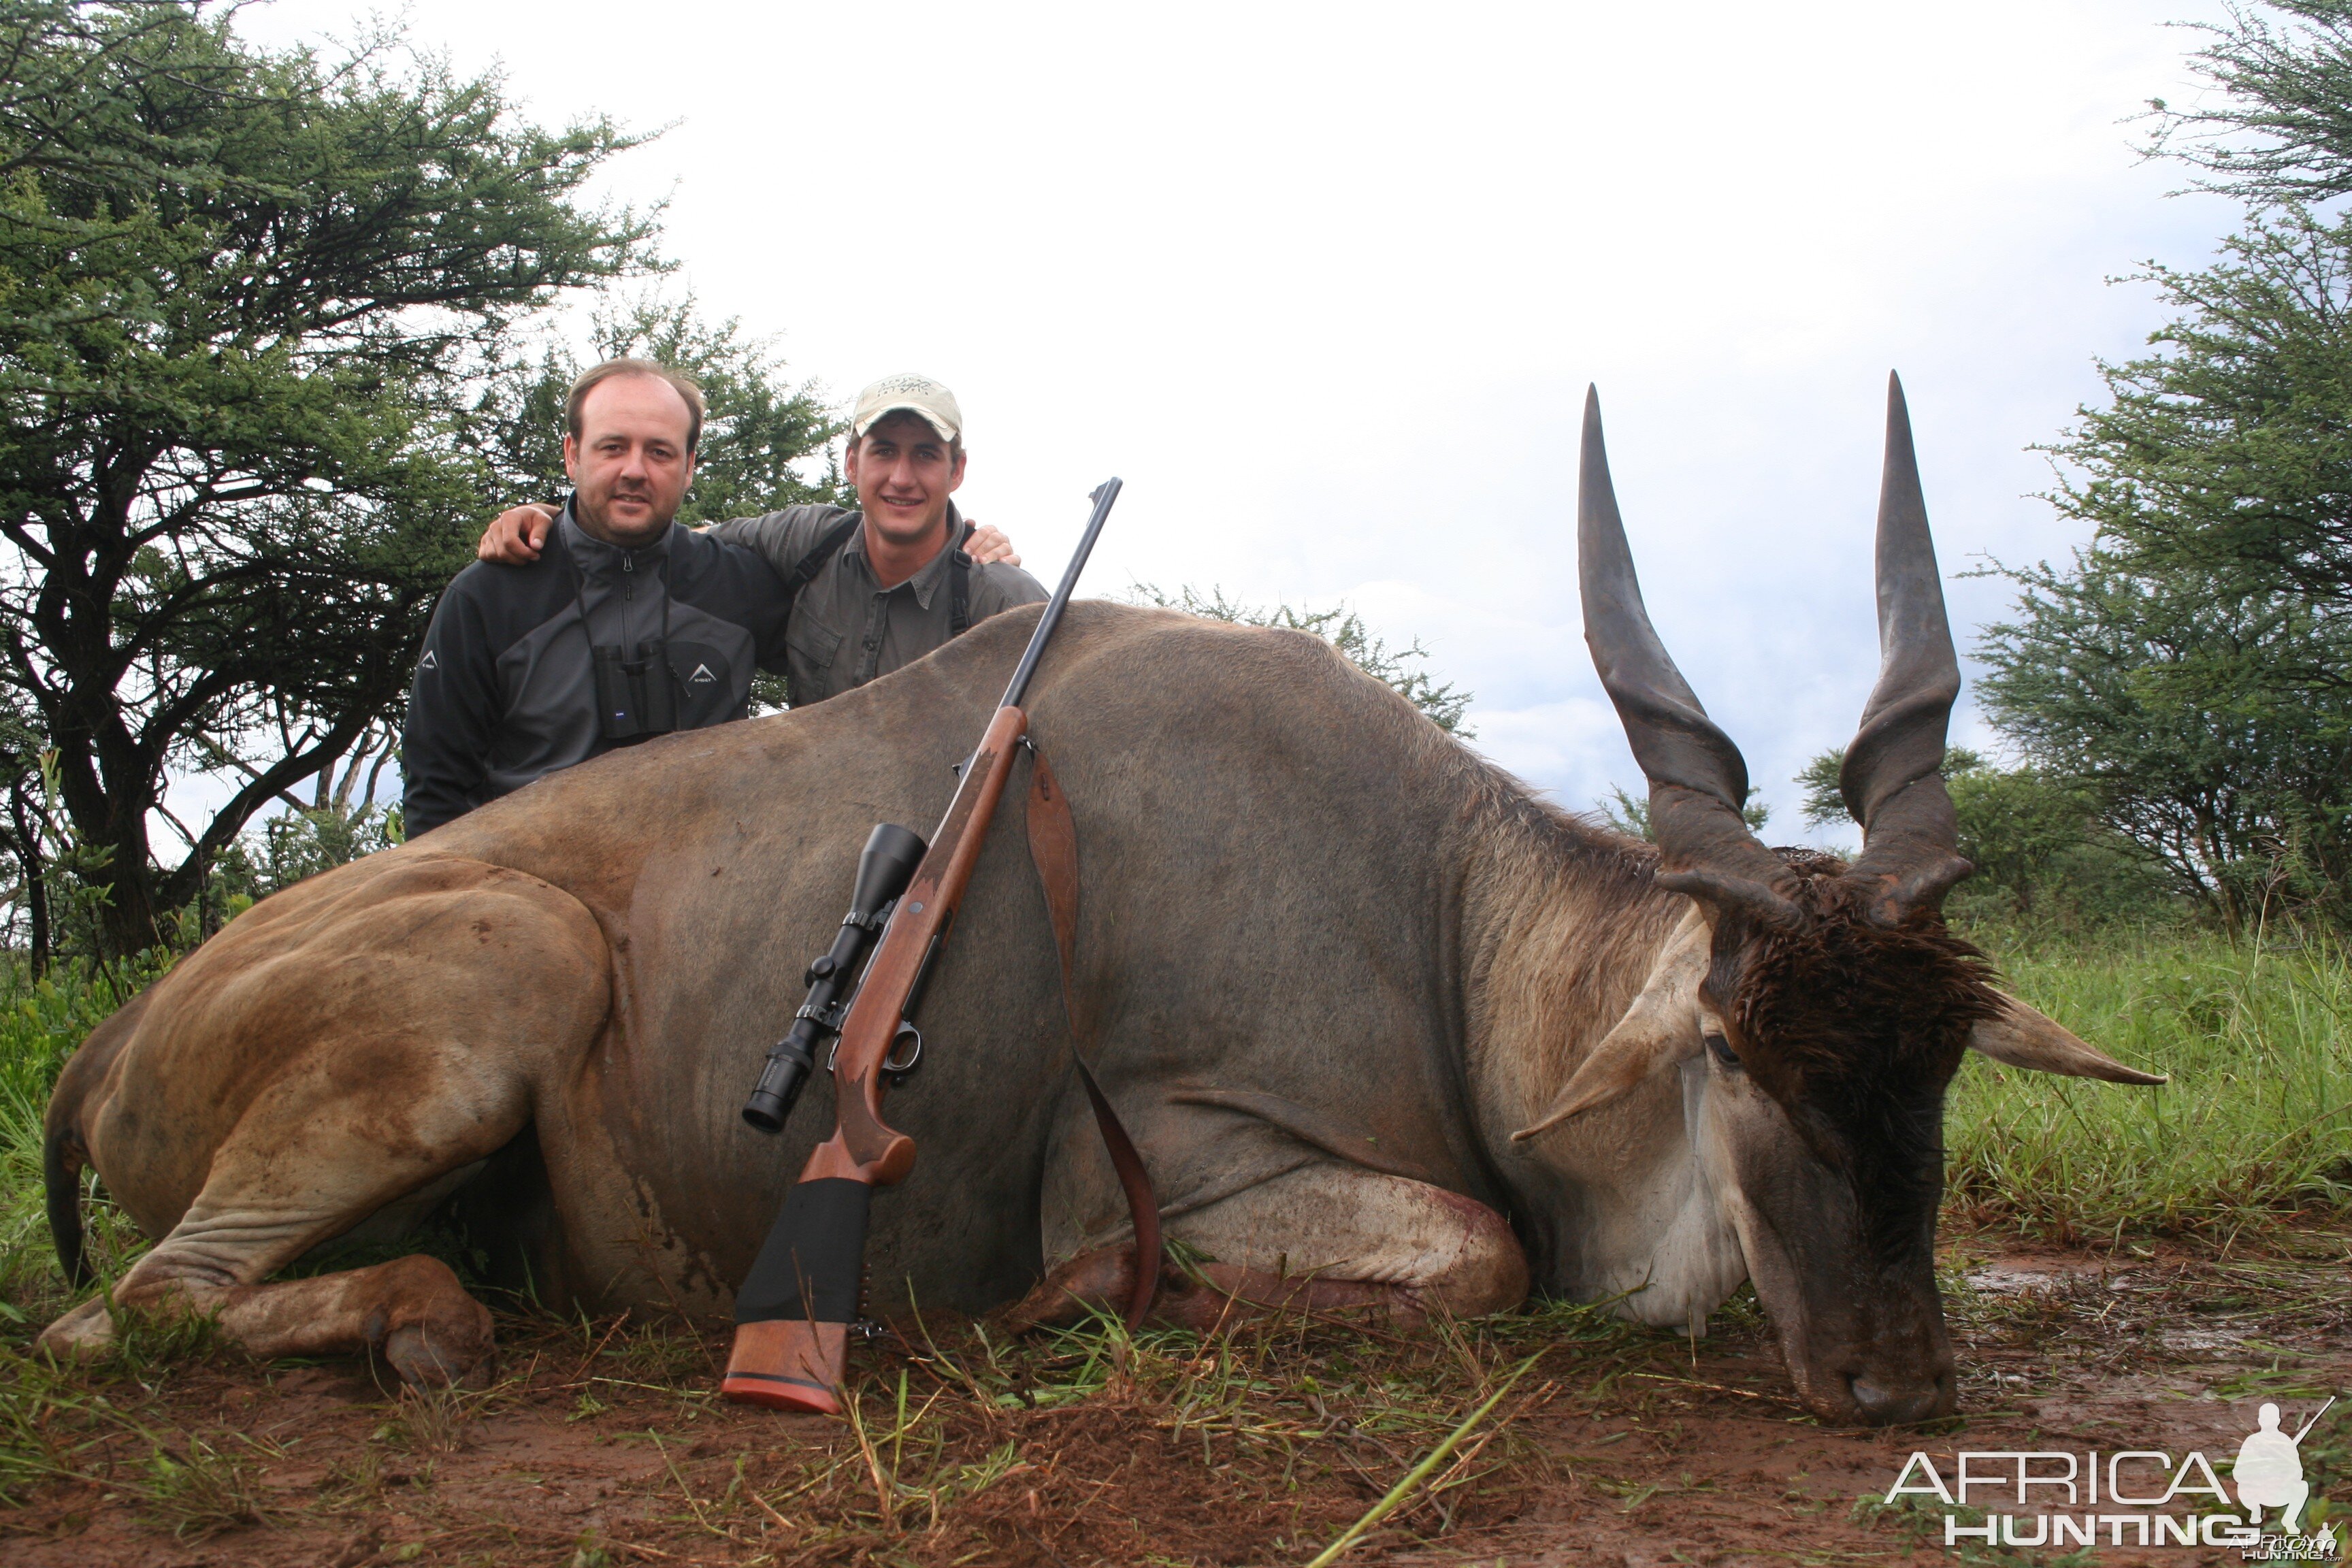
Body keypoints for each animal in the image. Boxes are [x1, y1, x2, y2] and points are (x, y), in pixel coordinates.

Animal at [41, 376, 2163, 1420]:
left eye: (1931, 1077)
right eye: (1741, 1052)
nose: (1897, 1384)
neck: (1440, 915)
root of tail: (109, 1043)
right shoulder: (1177, 1153)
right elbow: (1478, 1254)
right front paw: (1072, 1314)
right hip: (505, 973)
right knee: (121, 1315)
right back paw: (422, 1326)